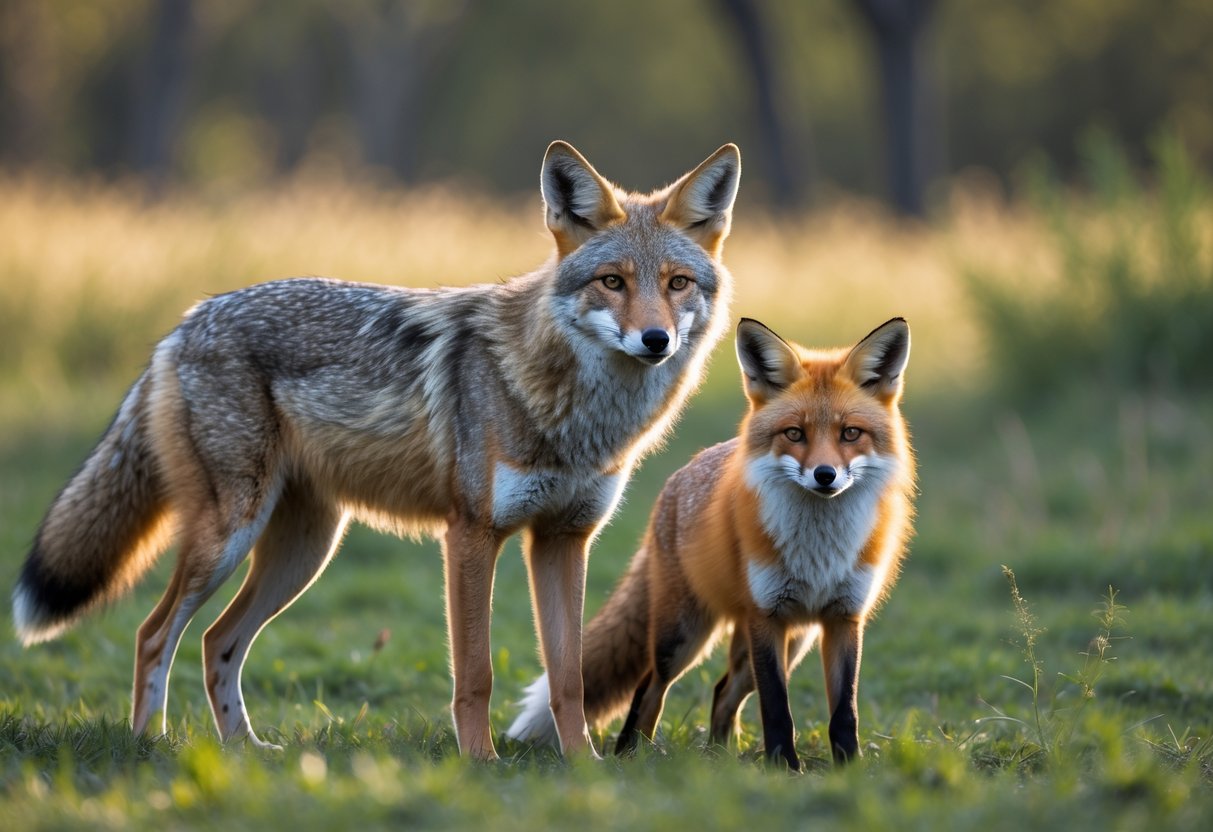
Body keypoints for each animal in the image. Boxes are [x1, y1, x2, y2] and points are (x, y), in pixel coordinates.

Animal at [11, 141, 742, 761]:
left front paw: (583, 766)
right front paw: (479, 763)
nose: (655, 340)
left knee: (218, 640)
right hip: (229, 538)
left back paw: (245, 750)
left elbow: (568, 677)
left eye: (676, 284)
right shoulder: (471, 535)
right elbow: (475, 673)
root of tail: (188, 320)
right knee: (154, 634)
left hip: (303, 554)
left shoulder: (564, 539)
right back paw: (150, 744)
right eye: (613, 282)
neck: (575, 415)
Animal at [508, 317, 914, 770]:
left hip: (787, 642)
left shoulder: (843, 618)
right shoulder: (766, 617)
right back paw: (632, 755)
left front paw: (848, 768)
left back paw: (719, 756)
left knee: (723, 692)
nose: (824, 475)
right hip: (683, 635)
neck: (818, 550)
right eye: (794, 433)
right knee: (649, 688)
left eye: (850, 434)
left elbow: (844, 710)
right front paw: (785, 768)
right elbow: (777, 707)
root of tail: (684, 472)